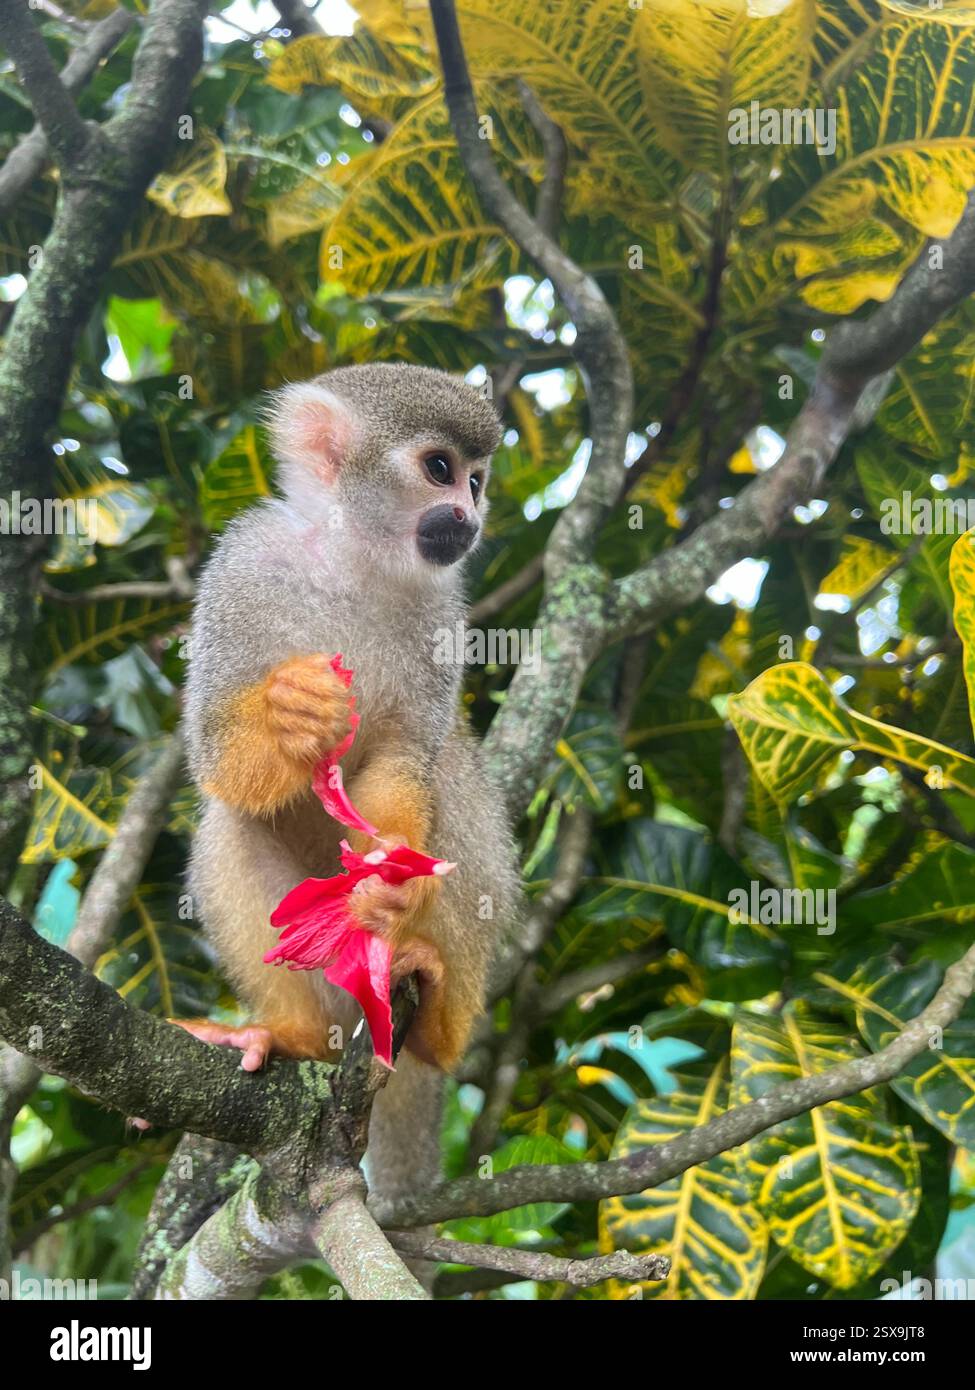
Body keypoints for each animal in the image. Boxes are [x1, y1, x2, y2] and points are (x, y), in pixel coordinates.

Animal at [181, 362, 521, 1212]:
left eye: (477, 480)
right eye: (440, 469)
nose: (469, 515)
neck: (353, 560)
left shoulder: (443, 607)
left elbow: (403, 759)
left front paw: (393, 880)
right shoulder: (240, 566)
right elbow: (215, 756)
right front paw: (290, 711)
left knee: (450, 774)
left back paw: (431, 1015)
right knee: (229, 819)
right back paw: (287, 1037)